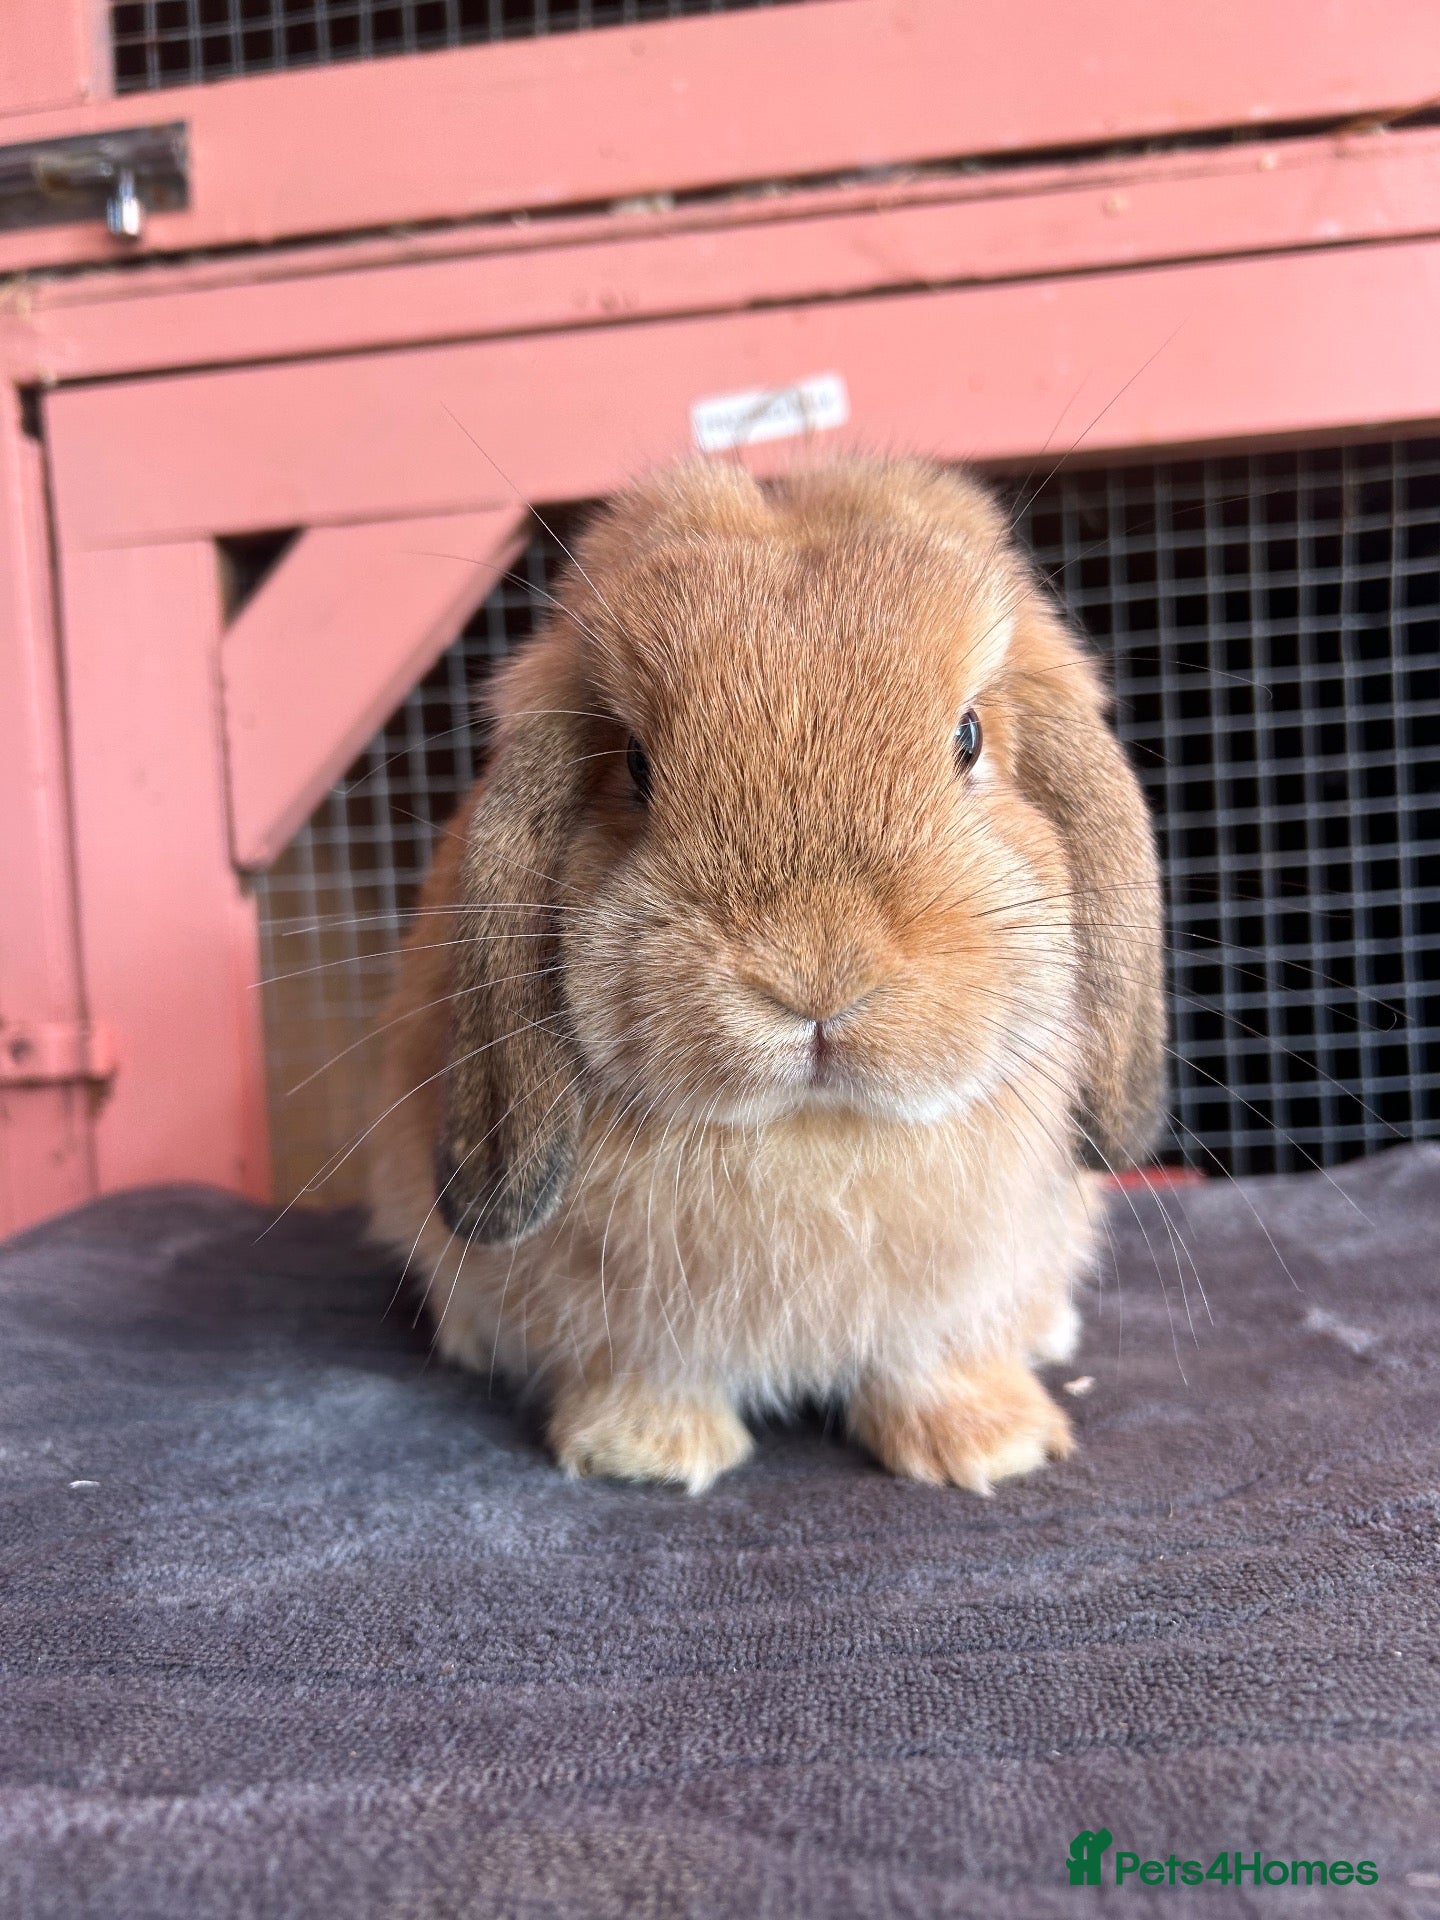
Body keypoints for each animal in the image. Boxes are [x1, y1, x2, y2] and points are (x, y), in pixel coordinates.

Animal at [367, 456, 1165, 1493]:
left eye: (969, 738)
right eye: (636, 766)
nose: (814, 974)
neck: (812, 1133)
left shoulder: (951, 1302)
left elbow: (932, 1358)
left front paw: (990, 1444)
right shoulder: (629, 1322)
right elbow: (643, 1365)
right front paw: (646, 1452)